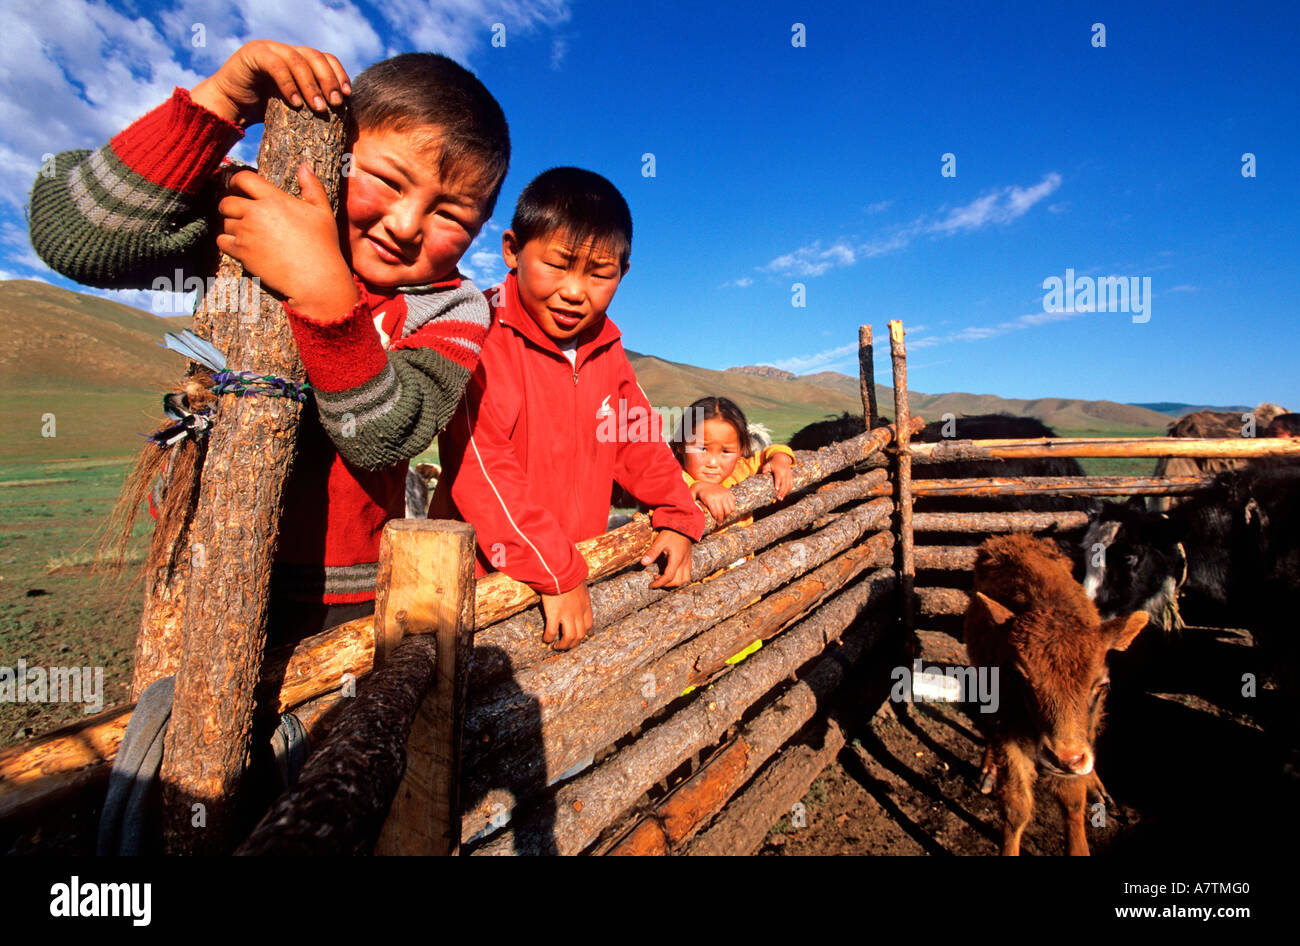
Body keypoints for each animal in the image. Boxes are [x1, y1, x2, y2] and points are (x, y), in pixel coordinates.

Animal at [967, 535, 1149, 852]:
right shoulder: (1009, 728)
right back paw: (989, 771)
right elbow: (1016, 806)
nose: (1065, 759)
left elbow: (1072, 800)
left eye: (1101, 685)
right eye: (1022, 678)